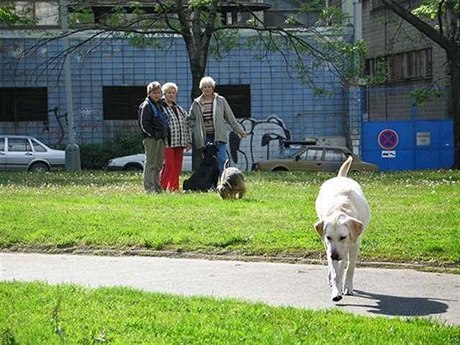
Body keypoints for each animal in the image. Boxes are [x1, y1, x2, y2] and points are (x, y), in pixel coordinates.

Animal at [312, 156, 370, 300]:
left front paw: (347, 286)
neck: (341, 208)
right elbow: (334, 272)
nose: (334, 255)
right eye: (329, 237)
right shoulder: (328, 245)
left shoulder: (354, 244)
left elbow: (350, 267)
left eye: (343, 237)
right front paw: (336, 291)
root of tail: (340, 177)